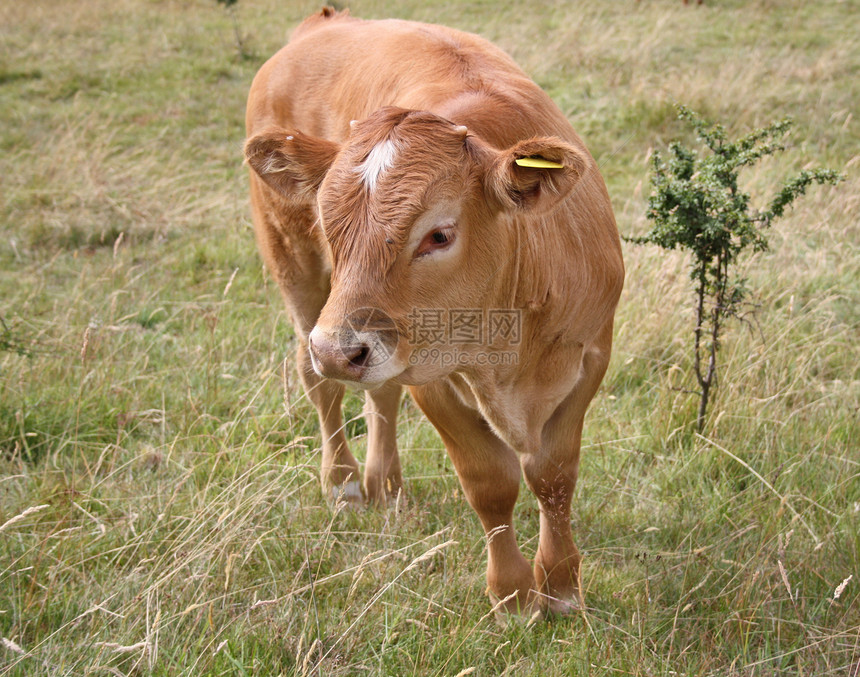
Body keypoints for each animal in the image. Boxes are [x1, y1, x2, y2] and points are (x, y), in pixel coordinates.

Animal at [245, 7, 620, 616]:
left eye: (439, 235)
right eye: (327, 223)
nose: (339, 349)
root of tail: (324, 23)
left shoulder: (591, 355)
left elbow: (553, 475)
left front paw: (562, 587)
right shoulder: (432, 375)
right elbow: (489, 481)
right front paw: (513, 595)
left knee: (378, 394)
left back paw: (388, 486)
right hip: (297, 272)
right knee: (319, 382)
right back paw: (346, 482)